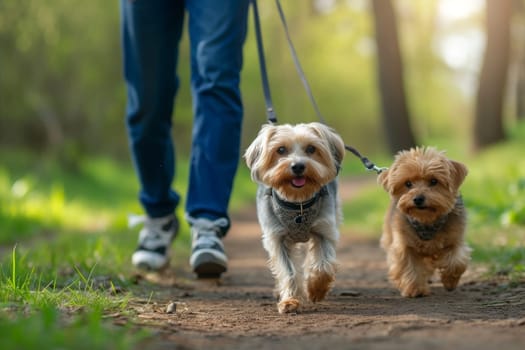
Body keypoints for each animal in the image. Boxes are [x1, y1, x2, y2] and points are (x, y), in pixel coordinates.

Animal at [376, 146, 470, 296]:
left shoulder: (455, 239)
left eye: (434, 181)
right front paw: (415, 289)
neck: (426, 220)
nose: (418, 199)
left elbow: (456, 261)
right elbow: (408, 265)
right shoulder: (404, 245)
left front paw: (450, 281)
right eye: (408, 183)